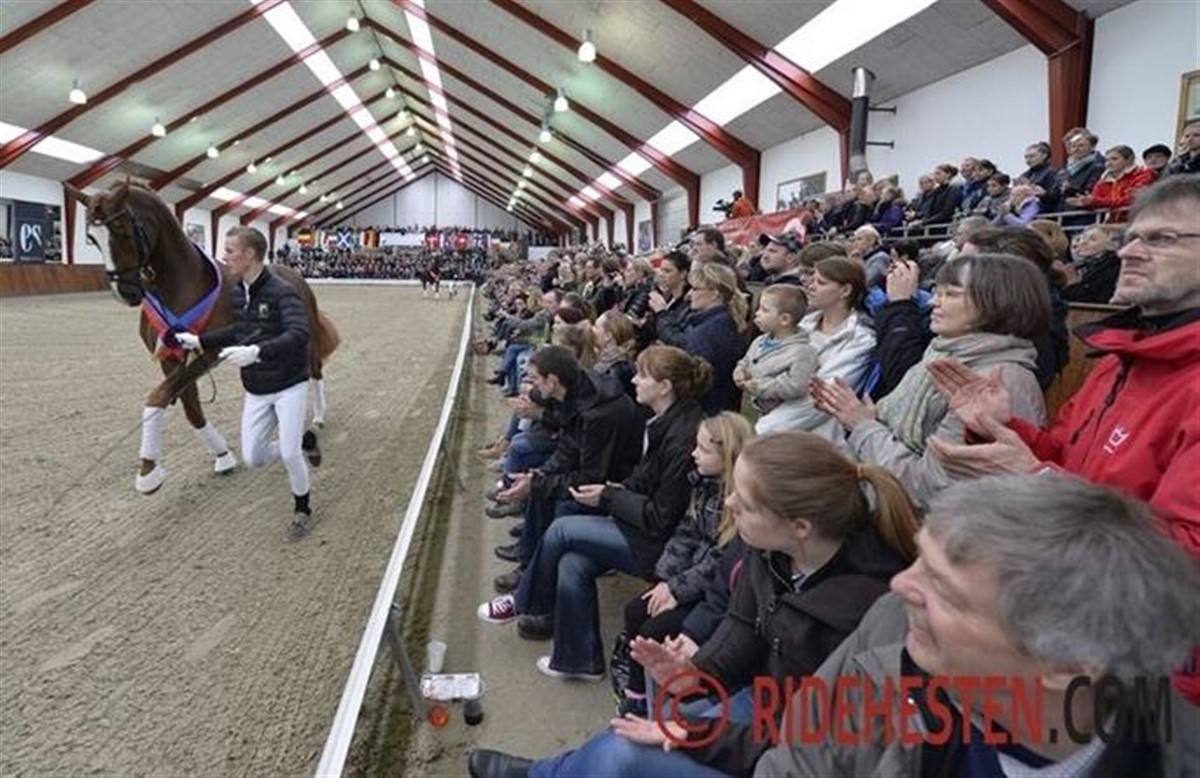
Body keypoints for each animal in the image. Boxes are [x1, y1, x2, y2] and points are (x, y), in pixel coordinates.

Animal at [66, 181, 339, 494]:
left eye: (122, 229)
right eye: (91, 238)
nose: (125, 293)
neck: (182, 284)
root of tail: (292, 273)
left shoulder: (210, 352)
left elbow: (157, 397)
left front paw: (148, 471)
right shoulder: (171, 355)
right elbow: (190, 407)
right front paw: (223, 456)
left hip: (306, 340)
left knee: (314, 370)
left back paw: (318, 418)